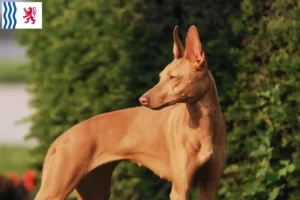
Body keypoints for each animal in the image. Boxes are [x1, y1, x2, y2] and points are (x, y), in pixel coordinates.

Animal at [34, 25, 226, 200]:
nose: (142, 99)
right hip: (56, 189)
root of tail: (59, 140)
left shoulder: (209, 186)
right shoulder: (179, 189)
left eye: (173, 77)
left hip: (94, 190)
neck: (204, 125)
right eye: (160, 77)